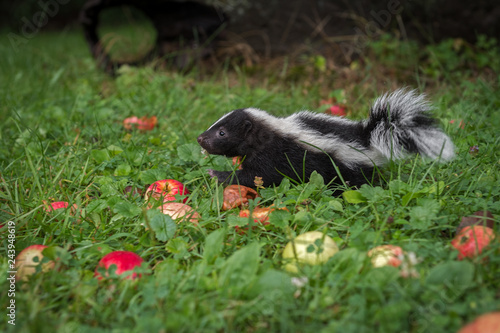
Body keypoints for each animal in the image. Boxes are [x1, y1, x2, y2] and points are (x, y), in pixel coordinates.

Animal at [197, 89, 456, 189]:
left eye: (222, 133)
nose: (200, 138)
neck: (268, 132)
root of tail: (366, 136)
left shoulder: (272, 156)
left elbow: (257, 177)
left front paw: (216, 174)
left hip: (350, 168)